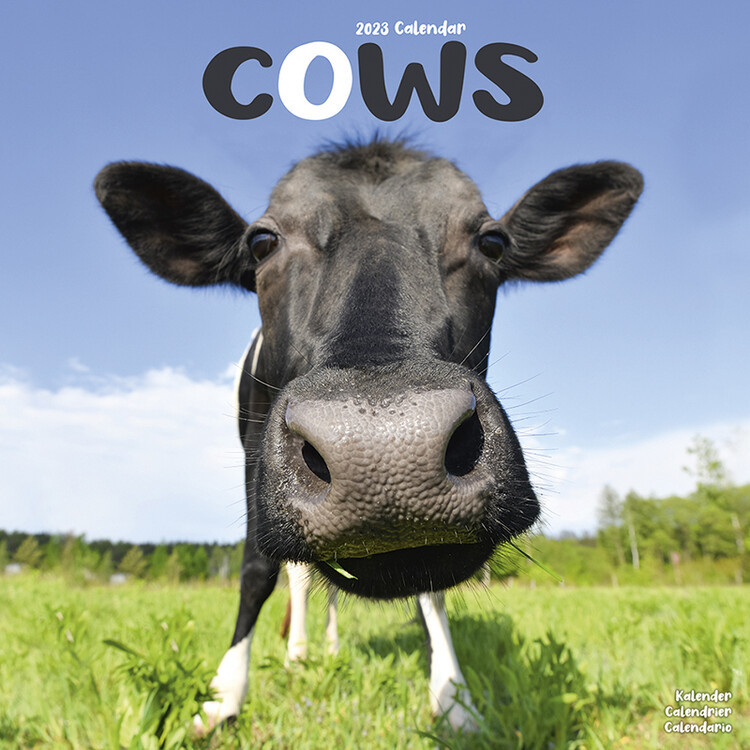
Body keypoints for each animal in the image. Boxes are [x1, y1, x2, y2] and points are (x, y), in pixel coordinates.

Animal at [94, 138, 642, 731]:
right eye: (262, 243)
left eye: (492, 242)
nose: (384, 450)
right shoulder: (253, 458)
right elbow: (259, 569)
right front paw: (223, 694)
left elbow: (433, 595)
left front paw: (453, 696)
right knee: (298, 577)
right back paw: (299, 654)